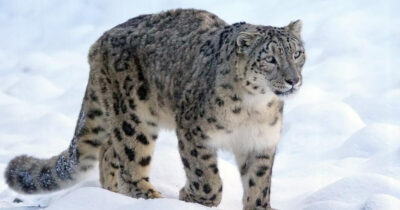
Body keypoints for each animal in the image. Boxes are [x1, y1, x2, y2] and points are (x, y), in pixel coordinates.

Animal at [4, 8, 304, 210]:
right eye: (270, 58)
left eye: (297, 53)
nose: (293, 80)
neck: (255, 109)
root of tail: (99, 41)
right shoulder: (194, 132)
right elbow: (206, 177)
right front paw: (191, 197)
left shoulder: (261, 142)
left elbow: (259, 183)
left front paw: (259, 205)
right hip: (134, 116)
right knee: (130, 161)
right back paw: (151, 199)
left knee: (108, 152)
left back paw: (112, 195)